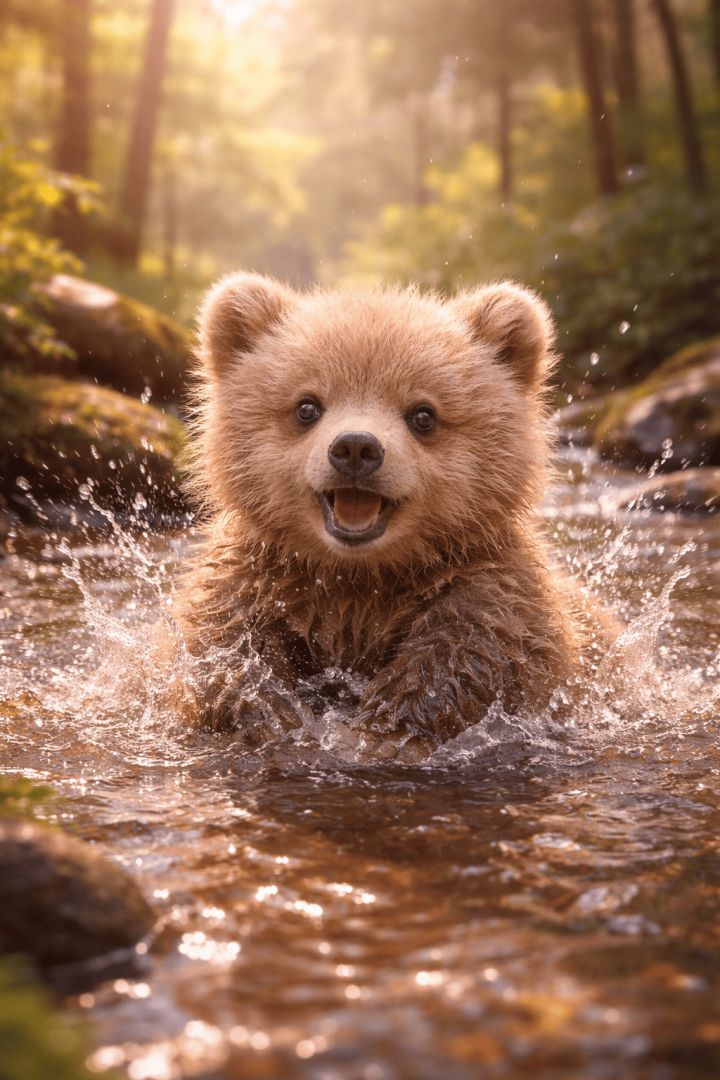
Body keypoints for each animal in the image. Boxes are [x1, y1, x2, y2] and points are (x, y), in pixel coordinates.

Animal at [175, 272, 594, 759]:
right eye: (306, 406)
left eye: (423, 414)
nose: (356, 448)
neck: (359, 581)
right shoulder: (256, 581)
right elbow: (229, 646)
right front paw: (272, 709)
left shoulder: (489, 593)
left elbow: (467, 653)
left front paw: (383, 727)